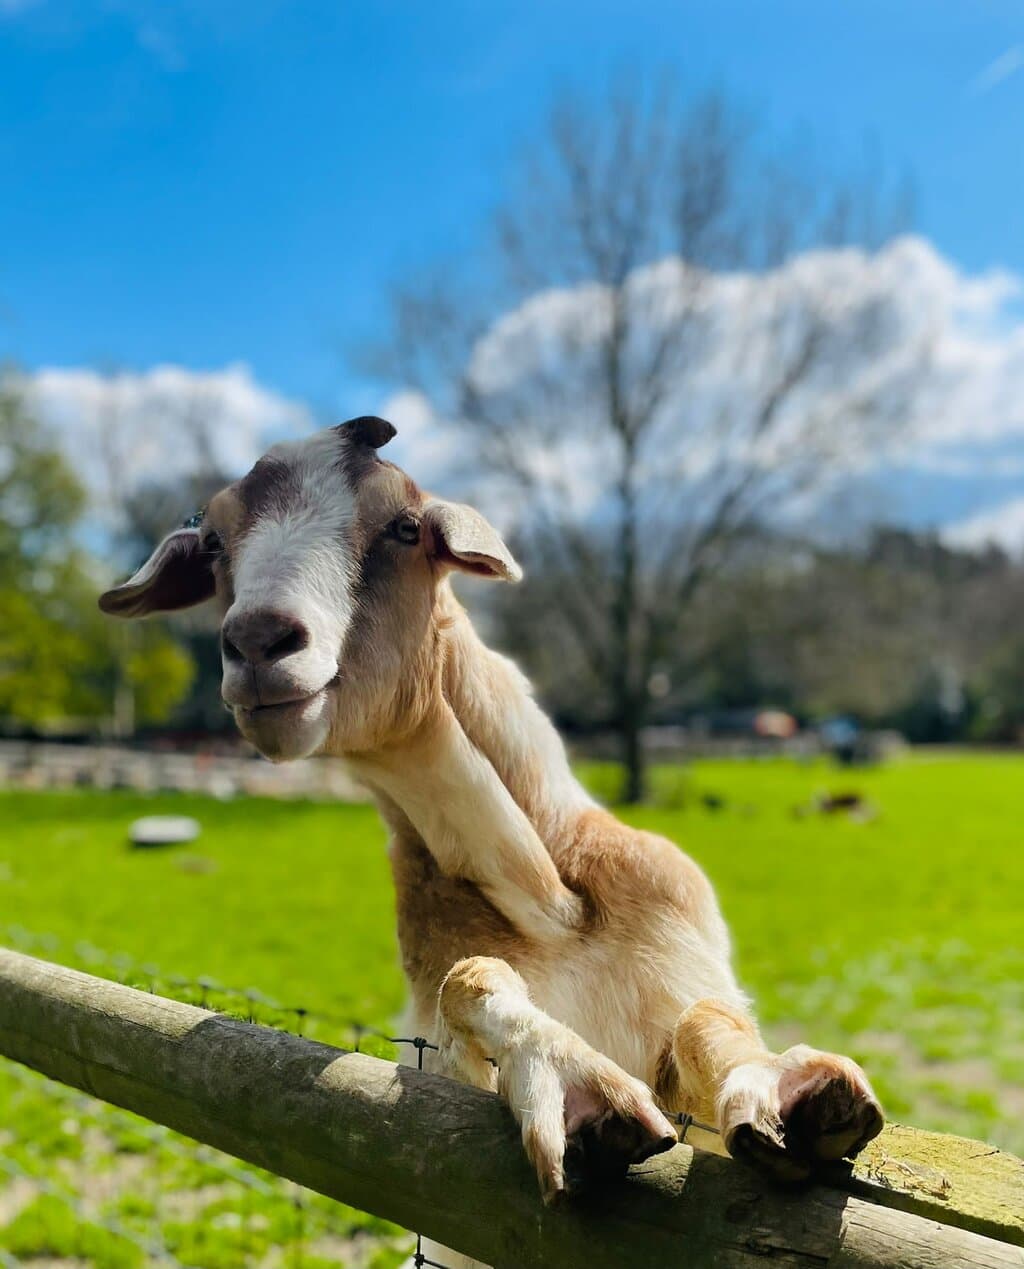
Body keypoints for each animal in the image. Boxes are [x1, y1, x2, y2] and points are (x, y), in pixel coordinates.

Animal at [100, 417, 883, 1269]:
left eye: (405, 527)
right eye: (213, 541)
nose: (258, 642)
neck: (555, 904)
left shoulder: (687, 967)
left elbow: (706, 1018)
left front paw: (791, 1098)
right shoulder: (441, 1061)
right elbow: (468, 978)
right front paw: (578, 1095)